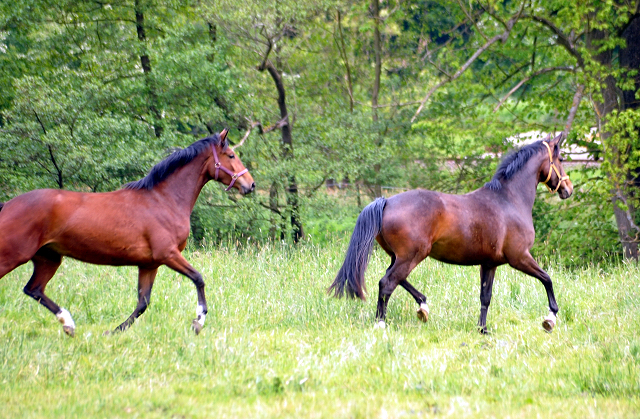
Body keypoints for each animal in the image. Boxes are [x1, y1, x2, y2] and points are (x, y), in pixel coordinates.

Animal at [0, 130, 254, 336]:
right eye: (231, 155)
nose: (250, 185)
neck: (164, 200)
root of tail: (8, 205)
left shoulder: (149, 264)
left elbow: (143, 302)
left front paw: (112, 332)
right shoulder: (168, 254)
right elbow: (198, 278)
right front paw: (198, 322)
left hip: (49, 258)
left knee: (33, 289)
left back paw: (69, 325)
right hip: (13, 256)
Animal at [328, 133, 572, 334]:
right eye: (560, 159)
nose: (568, 189)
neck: (509, 199)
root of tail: (386, 201)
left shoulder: (489, 263)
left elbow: (485, 297)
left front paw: (482, 329)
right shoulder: (519, 257)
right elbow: (547, 279)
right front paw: (550, 319)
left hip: (400, 256)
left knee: (396, 278)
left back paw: (423, 306)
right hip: (411, 256)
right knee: (387, 283)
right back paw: (381, 322)